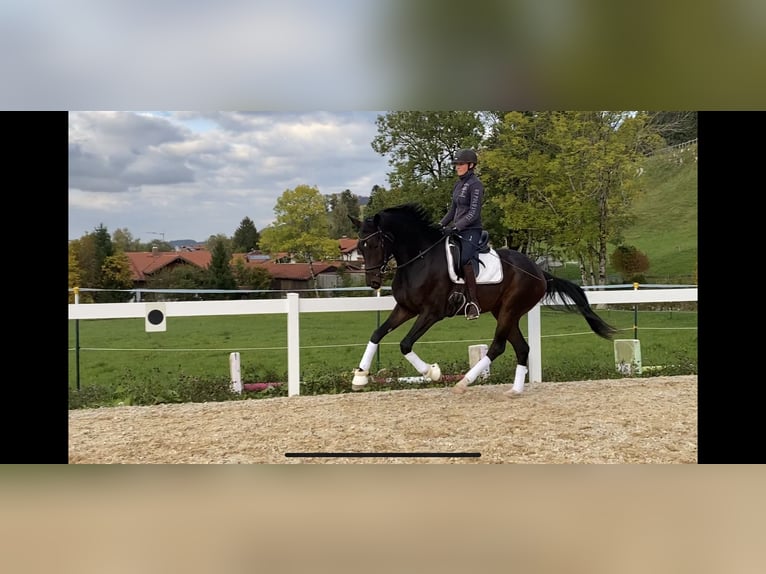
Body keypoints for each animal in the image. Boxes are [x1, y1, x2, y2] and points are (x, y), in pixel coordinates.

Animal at [352, 205, 620, 398]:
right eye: (360, 247)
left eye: (375, 243)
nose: (373, 282)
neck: (420, 259)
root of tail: (539, 272)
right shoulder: (406, 308)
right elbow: (377, 334)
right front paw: (360, 377)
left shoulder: (431, 313)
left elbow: (405, 344)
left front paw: (433, 373)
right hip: (504, 312)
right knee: (522, 348)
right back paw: (514, 390)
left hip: (509, 310)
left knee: (497, 347)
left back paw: (464, 382)